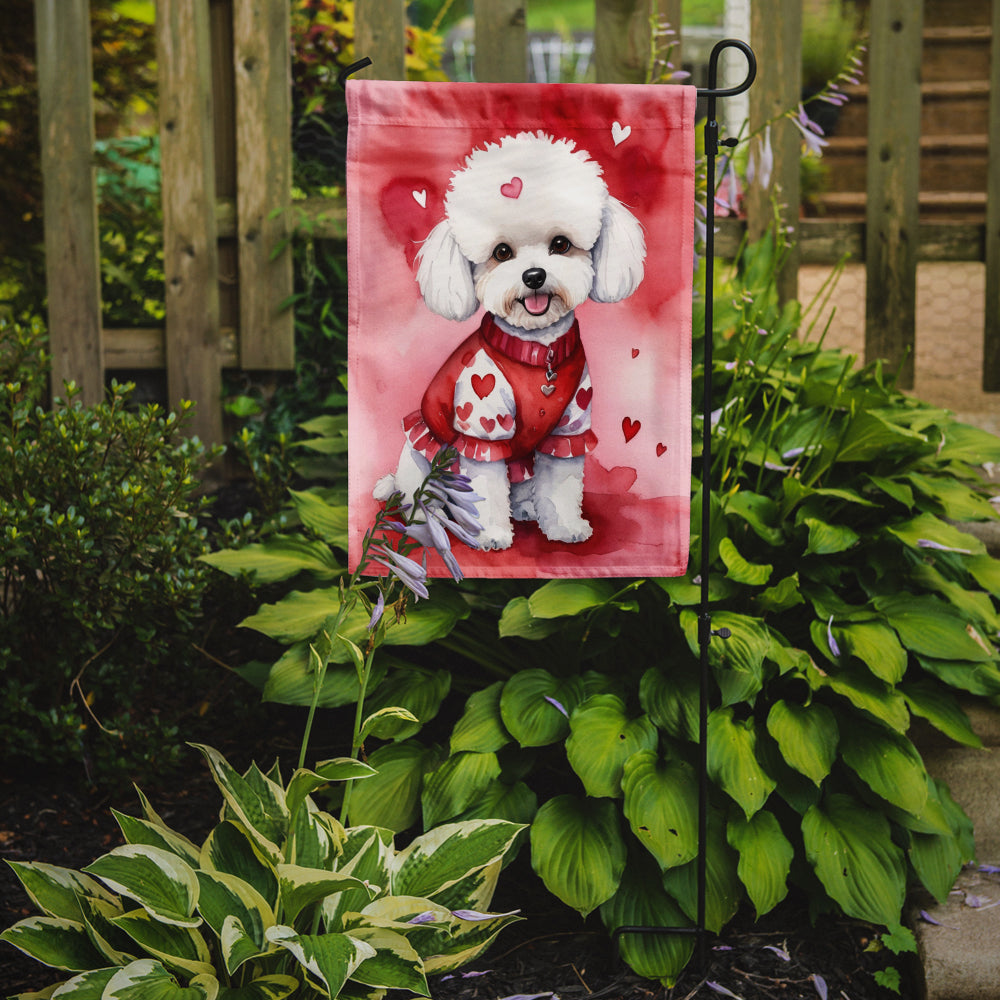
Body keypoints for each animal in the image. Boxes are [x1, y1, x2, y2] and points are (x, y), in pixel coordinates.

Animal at [376, 129, 648, 552]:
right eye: (501, 252)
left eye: (561, 244)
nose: (534, 276)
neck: (538, 353)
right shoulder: (482, 430)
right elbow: (486, 491)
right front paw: (490, 535)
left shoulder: (568, 431)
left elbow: (561, 486)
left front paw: (564, 527)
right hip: (426, 464)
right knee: (427, 498)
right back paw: (431, 521)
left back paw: (524, 508)